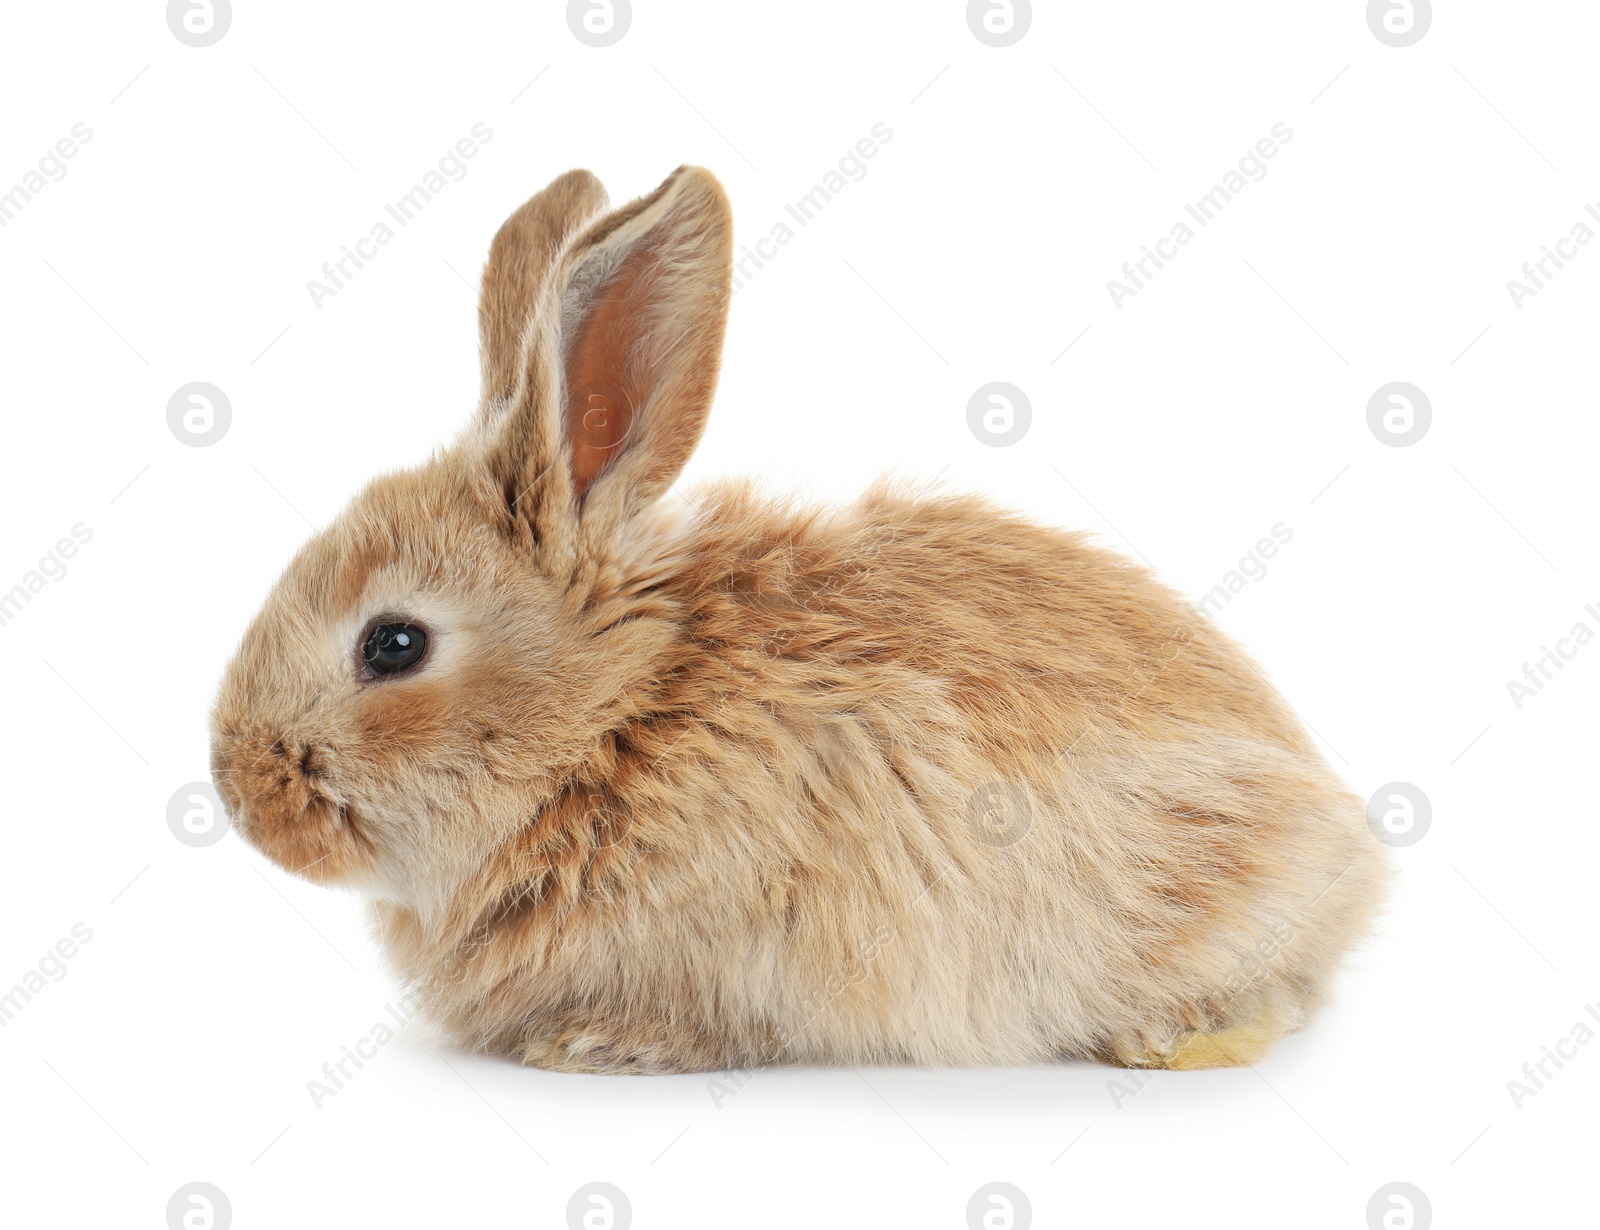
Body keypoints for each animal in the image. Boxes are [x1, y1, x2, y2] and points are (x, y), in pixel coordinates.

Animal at [212, 165, 1388, 1074]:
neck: (617, 720)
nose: (238, 794)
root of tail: (1346, 852)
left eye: (393, 644)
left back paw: (1174, 1039)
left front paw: (599, 1046)